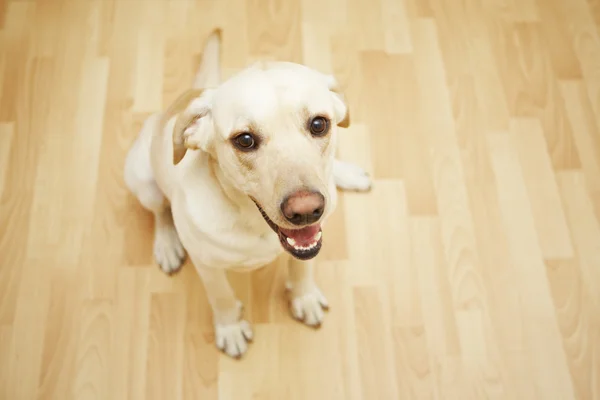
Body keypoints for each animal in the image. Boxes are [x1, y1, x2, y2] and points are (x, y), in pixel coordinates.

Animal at [123, 29, 370, 358]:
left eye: (319, 124)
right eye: (245, 140)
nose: (306, 210)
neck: (254, 224)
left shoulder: (312, 239)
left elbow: (302, 269)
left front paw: (303, 296)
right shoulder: (207, 266)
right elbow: (222, 297)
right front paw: (230, 327)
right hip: (142, 180)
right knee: (160, 212)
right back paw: (167, 244)